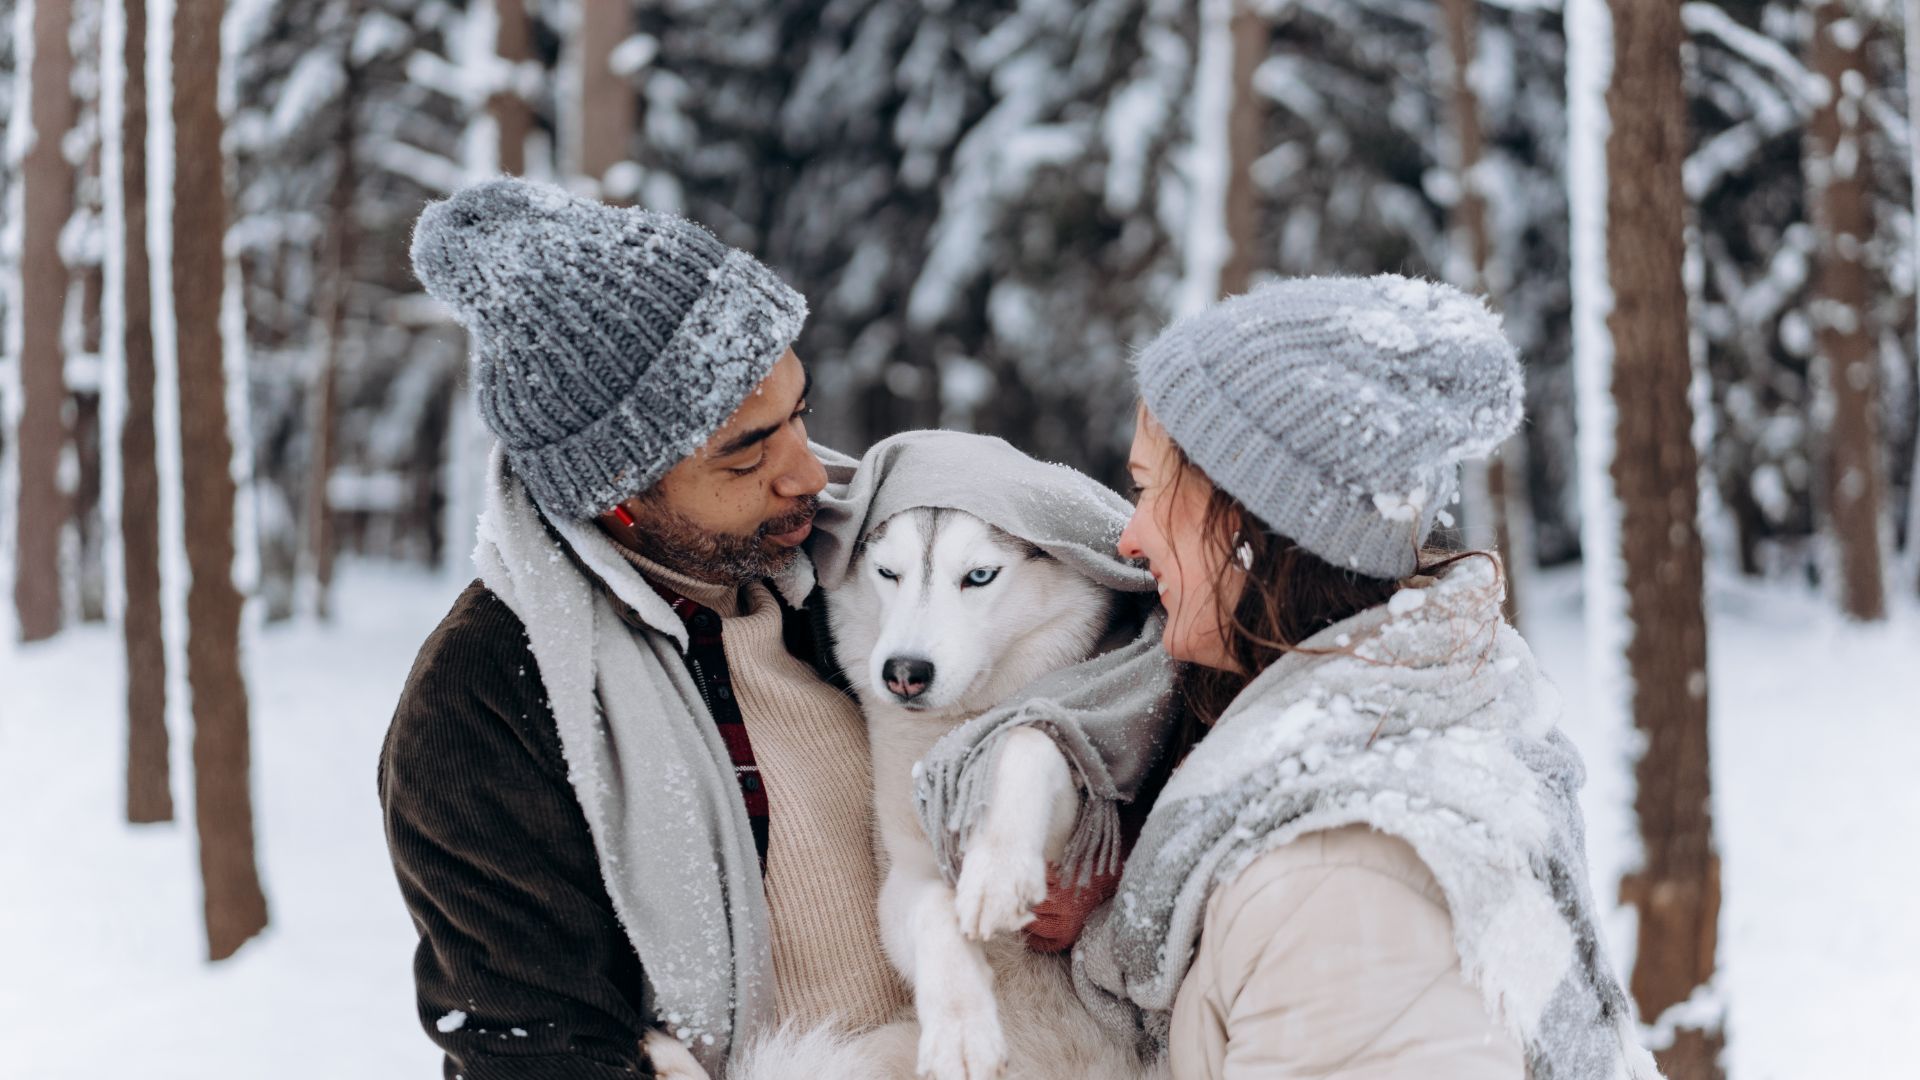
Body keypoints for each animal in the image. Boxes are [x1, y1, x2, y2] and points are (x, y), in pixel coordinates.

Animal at [721, 507, 1152, 1076]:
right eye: (888, 573)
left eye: (979, 576)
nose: (904, 672)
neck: (951, 734)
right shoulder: (905, 877)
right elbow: (931, 909)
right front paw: (961, 1026)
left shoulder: (1073, 832)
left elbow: (1022, 736)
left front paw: (998, 873)